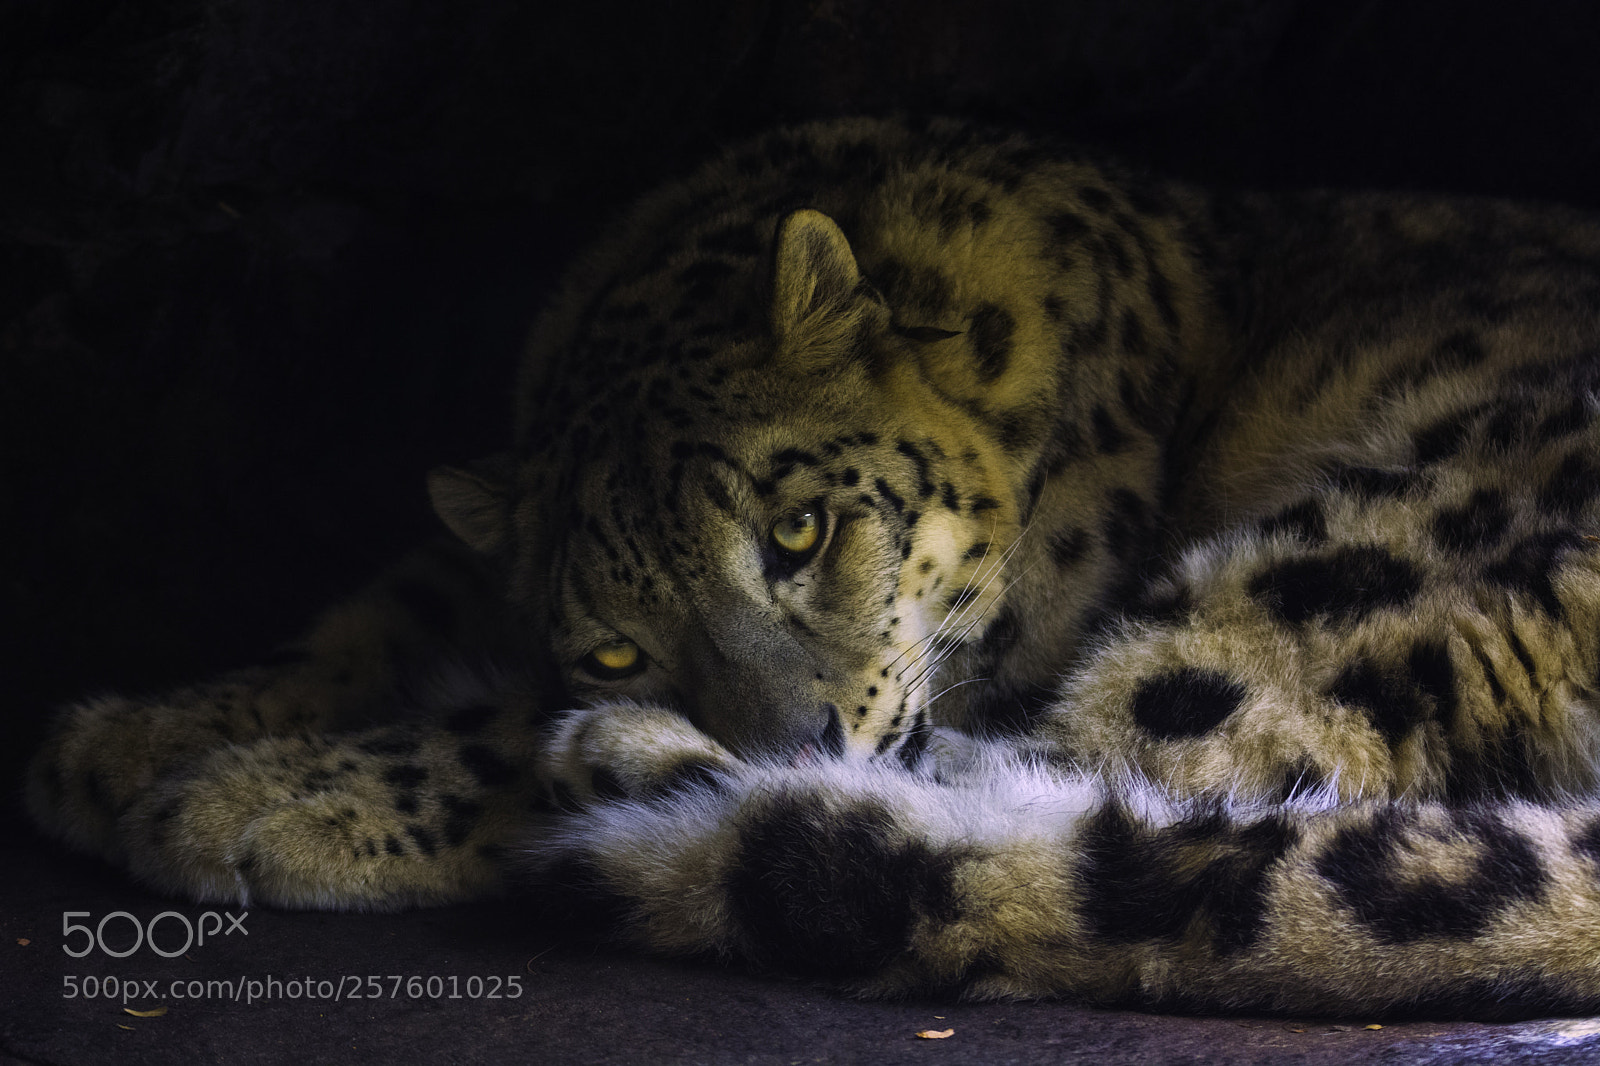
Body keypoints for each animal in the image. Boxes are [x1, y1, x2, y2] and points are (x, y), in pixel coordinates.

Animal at [28, 116, 1600, 1017]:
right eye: (612, 634)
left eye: (798, 527)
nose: (794, 727)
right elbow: (385, 603)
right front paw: (127, 736)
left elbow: (488, 723)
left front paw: (250, 793)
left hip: (1351, 570)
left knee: (1086, 779)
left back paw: (625, 773)